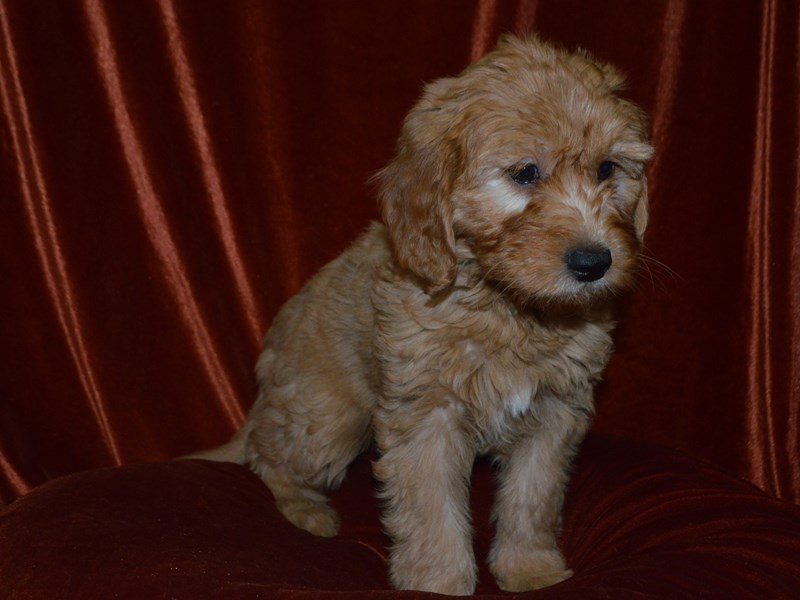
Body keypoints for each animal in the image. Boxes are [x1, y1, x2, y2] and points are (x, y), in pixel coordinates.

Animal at [192, 35, 648, 592]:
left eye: (608, 169)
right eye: (525, 173)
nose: (594, 262)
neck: (506, 306)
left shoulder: (556, 413)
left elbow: (533, 498)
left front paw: (531, 570)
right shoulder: (427, 416)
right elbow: (432, 511)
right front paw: (438, 581)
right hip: (330, 418)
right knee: (267, 457)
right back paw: (307, 511)